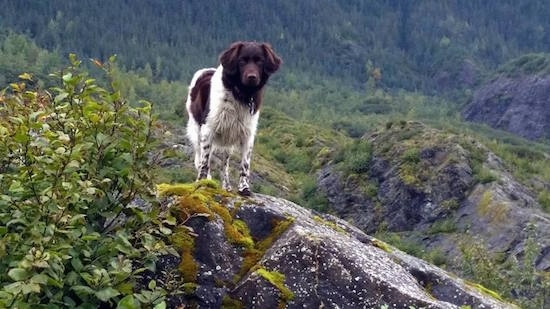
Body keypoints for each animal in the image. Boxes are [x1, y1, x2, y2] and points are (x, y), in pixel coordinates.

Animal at [185, 41, 282, 195]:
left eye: (260, 61)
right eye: (242, 61)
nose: (252, 77)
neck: (241, 94)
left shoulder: (248, 134)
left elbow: (245, 165)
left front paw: (244, 187)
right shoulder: (208, 129)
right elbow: (205, 163)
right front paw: (201, 183)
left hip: (228, 141)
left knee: (225, 164)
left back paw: (227, 186)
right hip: (197, 132)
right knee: (201, 157)